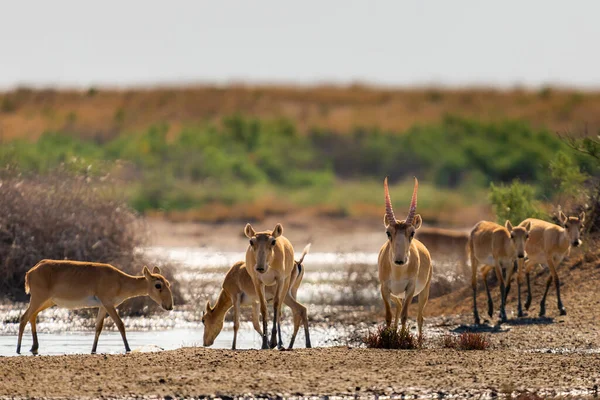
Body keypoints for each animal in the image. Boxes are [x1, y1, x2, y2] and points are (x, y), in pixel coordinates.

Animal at [17, 260, 172, 354]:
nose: (169, 306)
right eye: (158, 285)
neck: (120, 281)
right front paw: (128, 349)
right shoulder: (108, 304)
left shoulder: (103, 306)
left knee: (32, 316)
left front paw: (93, 350)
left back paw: (34, 347)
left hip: (47, 302)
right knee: (24, 317)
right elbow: (120, 324)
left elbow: (98, 327)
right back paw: (18, 349)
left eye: (168, 283)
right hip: (38, 299)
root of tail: (30, 272)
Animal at [380, 177, 432, 336]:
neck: (398, 272)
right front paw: (389, 337)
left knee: (420, 318)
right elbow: (388, 315)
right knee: (397, 306)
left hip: (424, 292)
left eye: (412, 232)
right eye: (388, 232)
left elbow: (404, 315)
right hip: (396, 294)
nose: (399, 260)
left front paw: (402, 338)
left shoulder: (410, 289)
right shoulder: (384, 289)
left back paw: (419, 340)